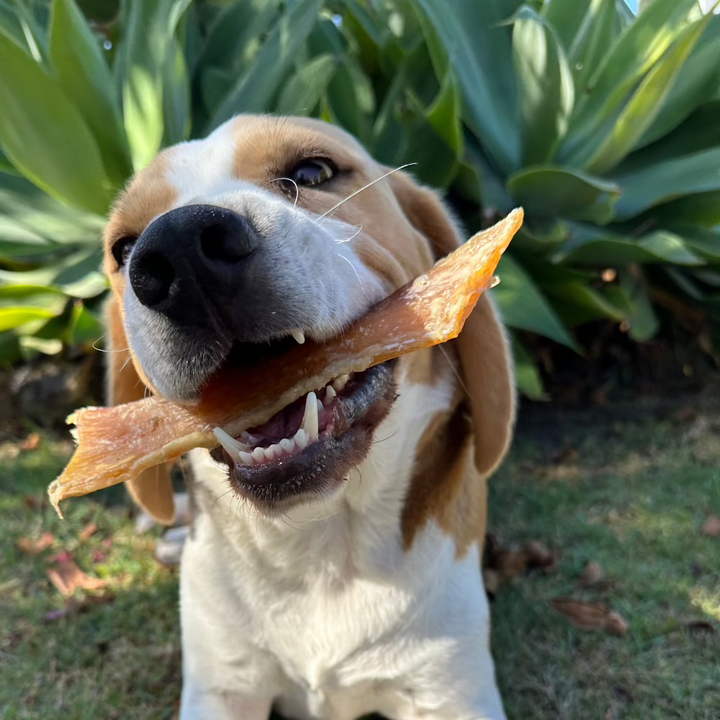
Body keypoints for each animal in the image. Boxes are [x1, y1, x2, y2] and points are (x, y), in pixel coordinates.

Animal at [104, 115, 516, 716]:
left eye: (312, 172)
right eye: (124, 247)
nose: (178, 249)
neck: (321, 550)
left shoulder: (450, 691)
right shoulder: (222, 686)